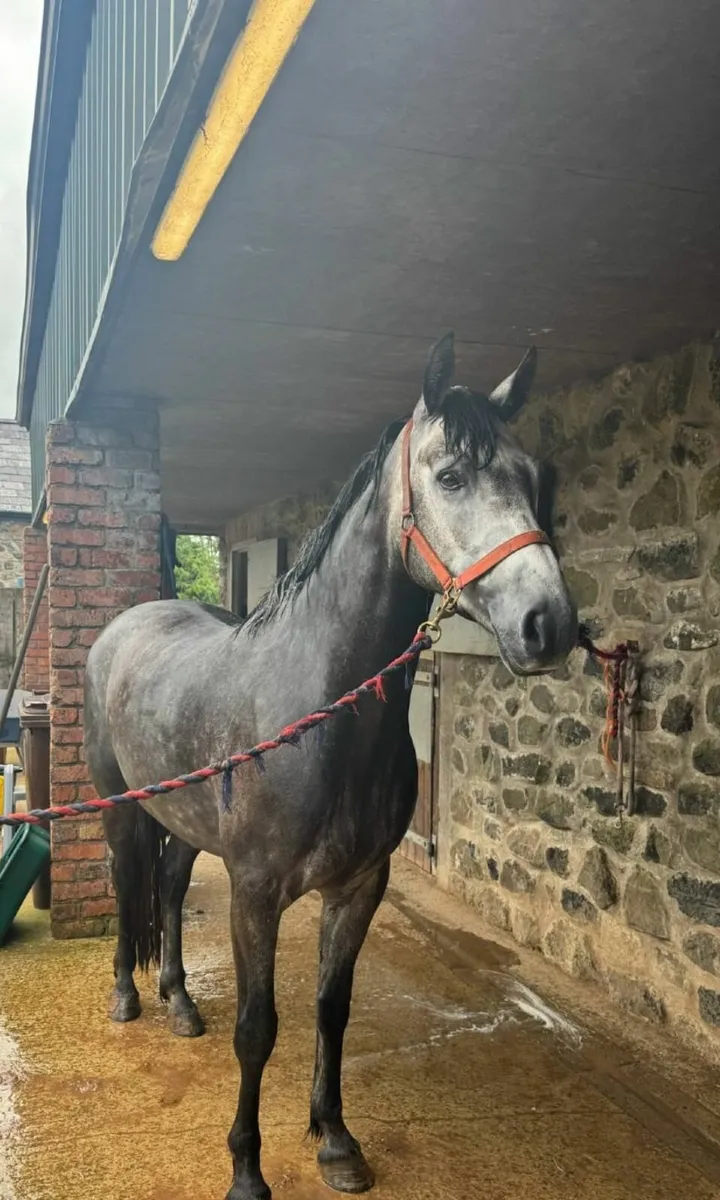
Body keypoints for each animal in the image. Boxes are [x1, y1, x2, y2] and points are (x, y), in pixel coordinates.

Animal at [84, 332, 577, 1200]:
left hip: (186, 823)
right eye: (451, 475)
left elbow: (330, 1009)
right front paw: (247, 1169)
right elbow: (258, 1028)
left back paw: (179, 1002)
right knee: (128, 884)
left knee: (170, 890)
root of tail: (127, 625)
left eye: (535, 477)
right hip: (120, 809)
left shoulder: (358, 888)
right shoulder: (255, 893)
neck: (317, 712)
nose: (546, 623)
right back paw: (127, 997)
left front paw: (337, 1141)